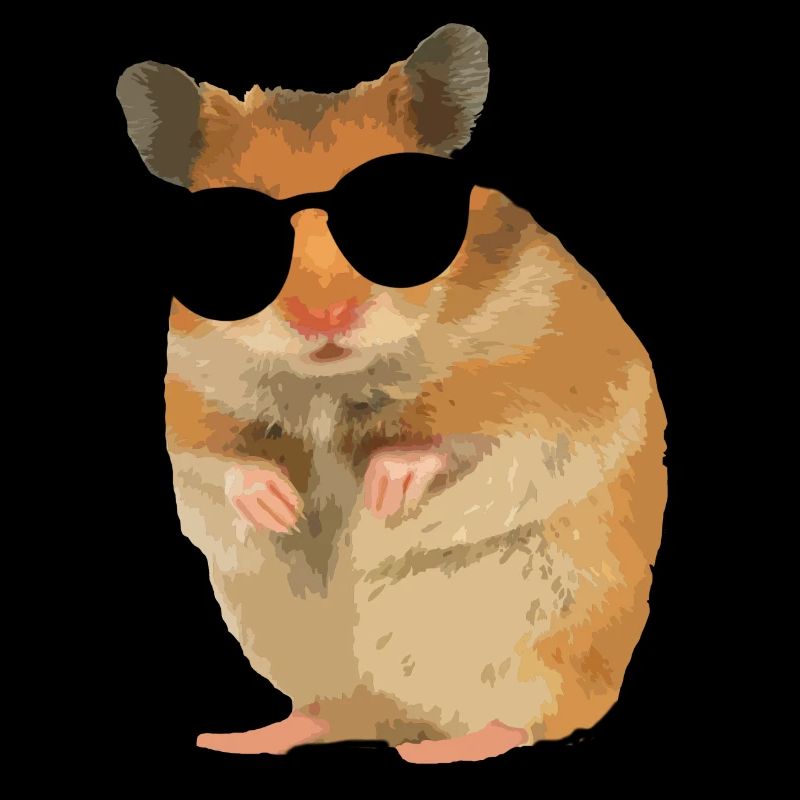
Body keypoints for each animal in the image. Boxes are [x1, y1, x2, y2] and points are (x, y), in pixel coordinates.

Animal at [117, 23, 667, 763]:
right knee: (332, 715)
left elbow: (475, 438)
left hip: (534, 642)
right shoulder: (190, 396)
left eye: (398, 216)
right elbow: (220, 461)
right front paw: (281, 508)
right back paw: (237, 738)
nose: (324, 319)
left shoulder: (550, 381)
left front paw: (381, 493)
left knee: (528, 719)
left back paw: (438, 750)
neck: (332, 380)